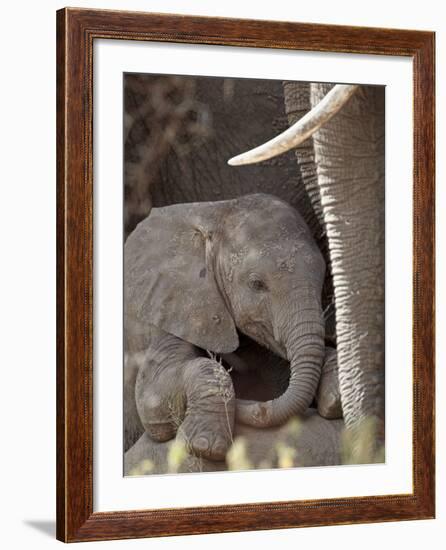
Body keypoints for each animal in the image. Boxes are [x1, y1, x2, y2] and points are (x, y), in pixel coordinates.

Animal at [123, 194, 340, 462]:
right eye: (257, 284)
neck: (215, 213)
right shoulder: (167, 302)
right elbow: (152, 397)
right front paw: (204, 447)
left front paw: (334, 399)